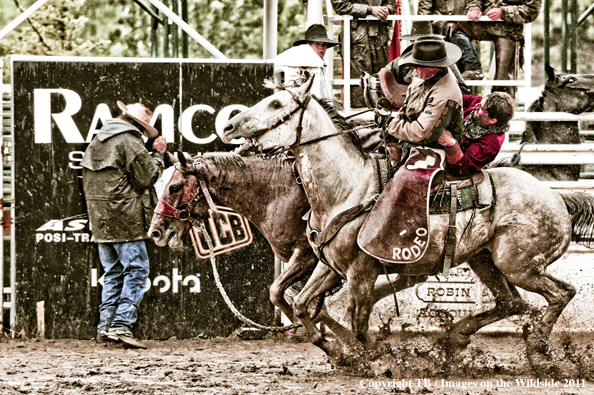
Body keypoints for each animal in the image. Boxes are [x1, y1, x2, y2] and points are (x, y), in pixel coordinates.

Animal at [222, 78, 594, 378]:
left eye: (276, 104)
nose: (229, 125)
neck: (348, 188)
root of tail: (558, 199)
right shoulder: (331, 266)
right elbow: (298, 303)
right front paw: (338, 351)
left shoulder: (360, 272)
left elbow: (359, 322)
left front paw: (375, 360)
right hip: (484, 259)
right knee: (511, 302)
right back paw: (455, 339)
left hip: (518, 264)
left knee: (560, 293)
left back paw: (538, 350)